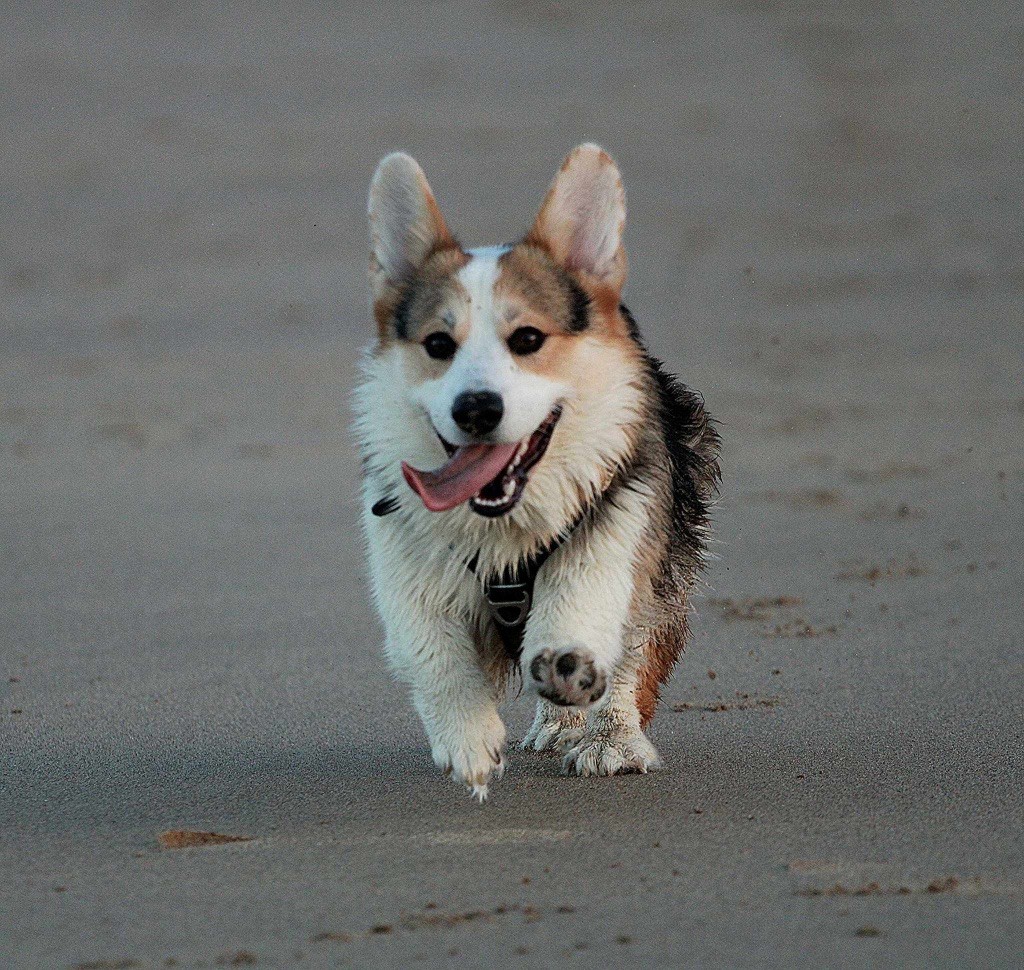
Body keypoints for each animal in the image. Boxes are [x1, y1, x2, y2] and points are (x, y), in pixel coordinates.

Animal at [354, 142, 720, 794]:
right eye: (438, 345)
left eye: (526, 338)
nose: (475, 408)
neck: (503, 526)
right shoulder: (406, 563)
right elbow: (433, 652)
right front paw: (469, 741)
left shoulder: (615, 523)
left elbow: (580, 600)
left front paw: (573, 677)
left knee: (632, 655)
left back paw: (606, 738)